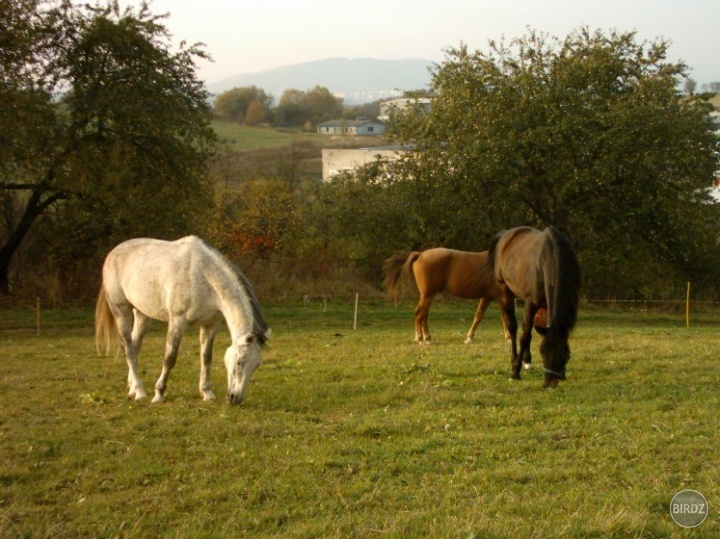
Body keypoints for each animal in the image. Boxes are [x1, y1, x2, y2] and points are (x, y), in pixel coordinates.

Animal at [95, 236, 270, 404]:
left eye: (256, 365)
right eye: (239, 362)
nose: (235, 398)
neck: (203, 275)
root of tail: (112, 253)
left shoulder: (210, 325)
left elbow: (206, 358)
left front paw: (207, 393)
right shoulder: (177, 322)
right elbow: (170, 358)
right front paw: (159, 394)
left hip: (142, 314)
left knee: (134, 345)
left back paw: (132, 387)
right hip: (121, 311)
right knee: (128, 348)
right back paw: (139, 392)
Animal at [382, 250, 512, 346]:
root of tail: (420, 255)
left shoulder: (488, 297)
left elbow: (479, 316)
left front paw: (469, 337)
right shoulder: (502, 296)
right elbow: (505, 318)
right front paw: (509, 338)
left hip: (428, 295)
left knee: (423, 314)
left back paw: (426, 337)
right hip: (428, 294)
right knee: (420, 313)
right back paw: (420, 338)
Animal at [484, 227, 580, 388]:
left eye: (565, 355)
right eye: (542, 352)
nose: (550, 384)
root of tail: (506, 234)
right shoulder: (531, 302)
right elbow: (524, 336)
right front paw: (515, 373)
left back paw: (526, 361)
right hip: (506, 290)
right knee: (514, 328)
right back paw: (515, 360)